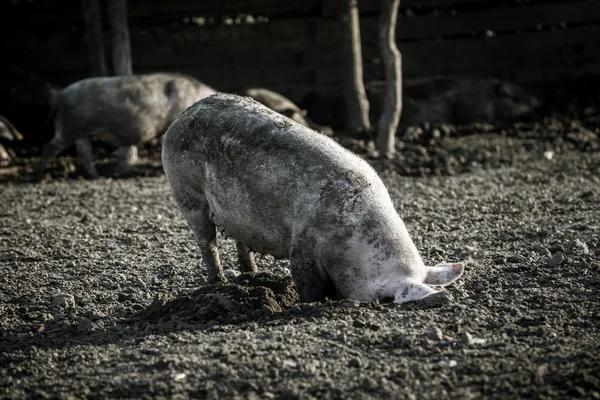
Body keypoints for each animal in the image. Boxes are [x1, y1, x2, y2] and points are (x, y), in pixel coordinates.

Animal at [34, 72, 217, 179]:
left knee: (84, 153)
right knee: (49, 148)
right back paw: (38, 176)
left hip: (81, 133)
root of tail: (60, 95)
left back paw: (98, 177)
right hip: (69, 129)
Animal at [161, 94, 464, 304]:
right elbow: (308, 285)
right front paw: (309, 304)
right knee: (206, 241)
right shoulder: (304, 246)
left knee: (241, 244)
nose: (440, 298)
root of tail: (183, 116)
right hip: (186, 193)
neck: (352, 243)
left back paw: (252, 277)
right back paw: (219, 282)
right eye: (387, 297)